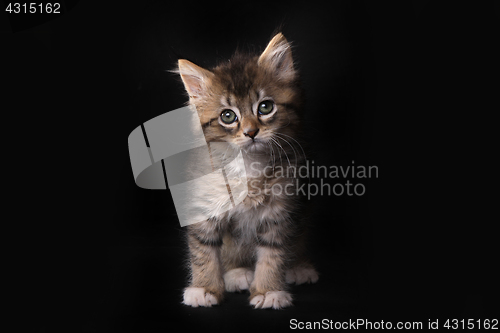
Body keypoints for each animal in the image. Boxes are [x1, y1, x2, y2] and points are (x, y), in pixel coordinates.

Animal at [177, 33, 316, 308]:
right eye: (228, 116)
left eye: (265, 107)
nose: (251, 132)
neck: (248, 165)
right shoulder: (204, 206)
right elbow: (203, 250)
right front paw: (204, 288)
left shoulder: (280, 211)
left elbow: (273, 254)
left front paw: (268, 291)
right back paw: (237, 272)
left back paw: (299, 267)